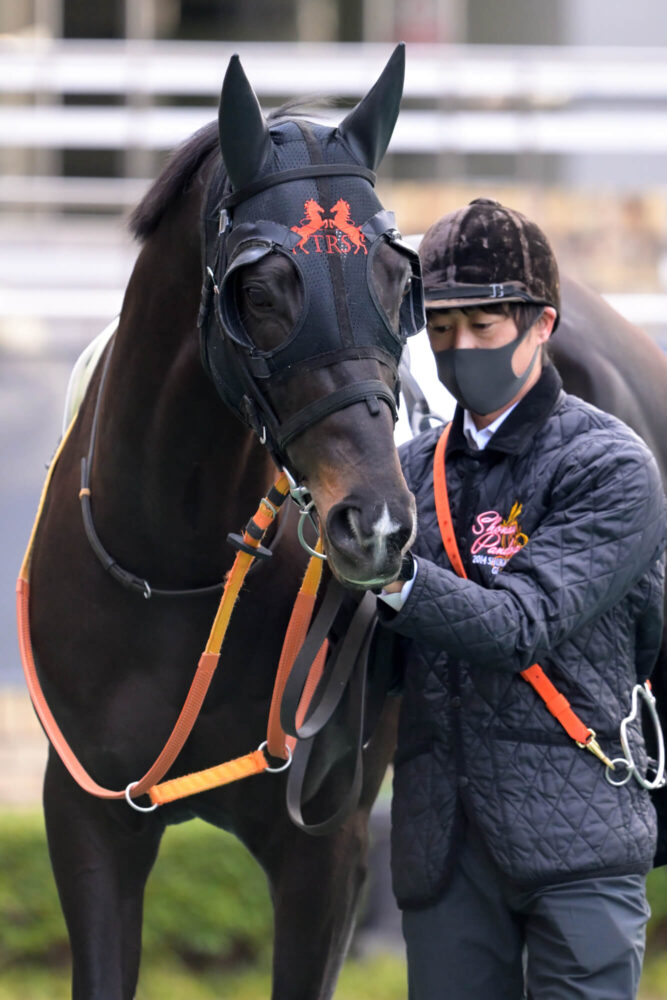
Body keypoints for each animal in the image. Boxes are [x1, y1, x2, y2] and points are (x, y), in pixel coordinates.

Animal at [23, 47, 420, 1000]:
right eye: (260, 291)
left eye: (398, 279)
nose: (376, 525)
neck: (177, 574)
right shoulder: (89, 819)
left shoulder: (326, 847)